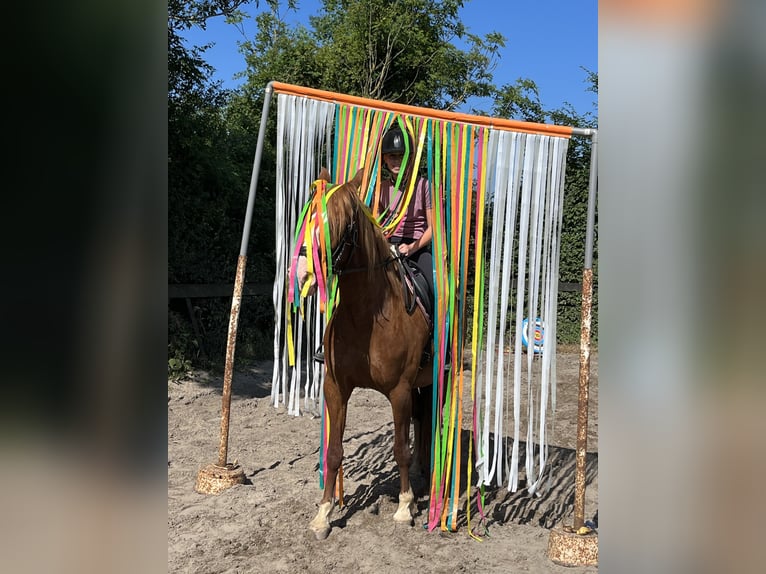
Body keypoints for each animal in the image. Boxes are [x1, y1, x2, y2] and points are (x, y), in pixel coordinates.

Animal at [295, 167, 435, 540]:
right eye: (307, 216)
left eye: (342, 224)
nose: (303, 273)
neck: (367, 315)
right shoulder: (335, 387)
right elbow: (333, 452)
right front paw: (323, 514)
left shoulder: (399, 390)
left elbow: (400, 449)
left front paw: (403, 507)